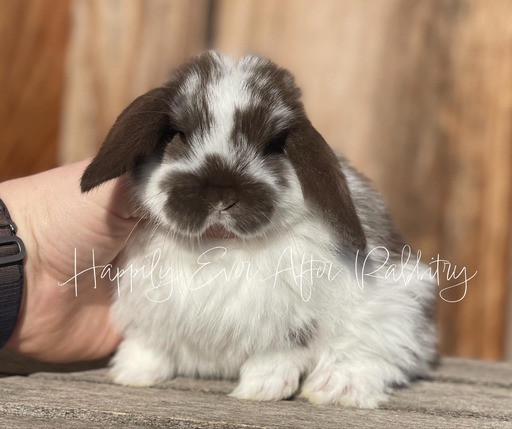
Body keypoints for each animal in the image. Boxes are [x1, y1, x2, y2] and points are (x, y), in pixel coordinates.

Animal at [80, 51, 436, 408]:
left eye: (274, 146)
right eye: (177, 134)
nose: (221, 194)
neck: (218, 247)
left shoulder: (290, 325)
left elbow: (278, 356)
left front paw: (261, 389)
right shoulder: (148, 313)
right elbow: (147, 346)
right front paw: (131, 373)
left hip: (397, 307)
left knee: (375, 354)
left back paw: (335, 387)